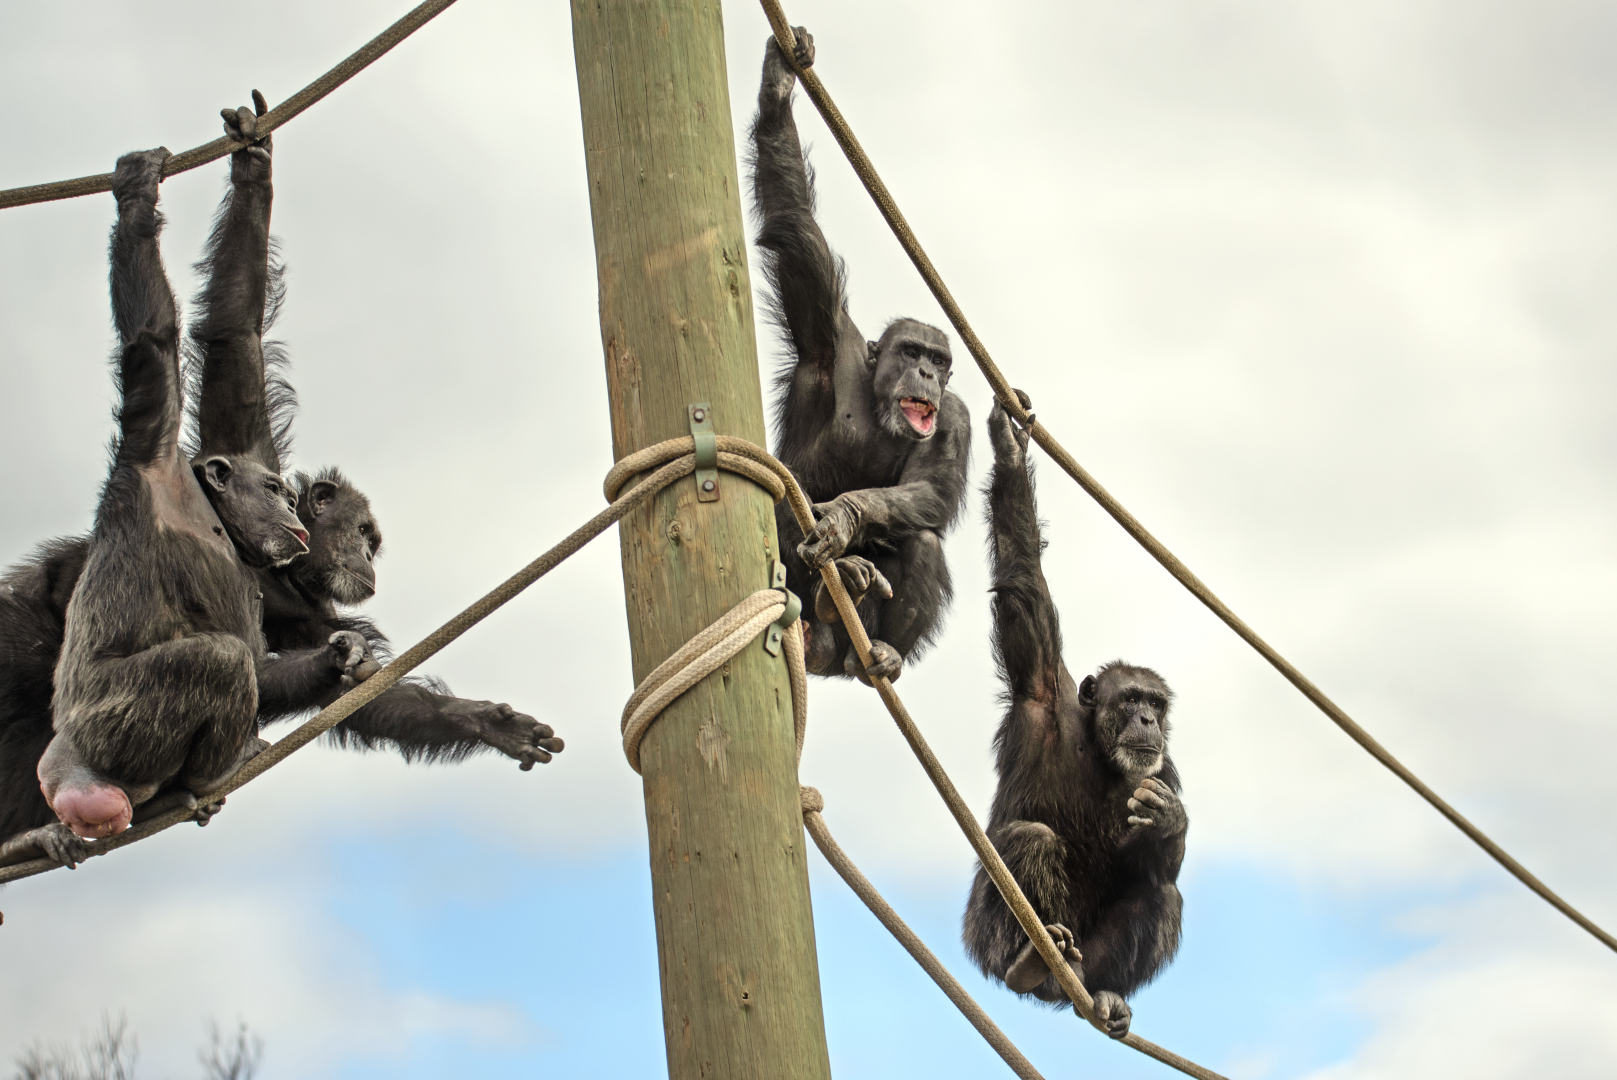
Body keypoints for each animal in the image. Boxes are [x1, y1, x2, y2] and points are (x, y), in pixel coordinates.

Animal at [749, 27, 971, 686]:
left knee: (923, 539)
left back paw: (879, 644)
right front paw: (778, 87)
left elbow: (933, 490)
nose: (925, 370)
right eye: (912, 350)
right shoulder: (827, 334)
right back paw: (835, 583)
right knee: (782, 506)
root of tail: (829, 655)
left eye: (939, 361)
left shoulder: (954, 416)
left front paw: (847, 515)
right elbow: (796, 230)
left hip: (859, 643)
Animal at [961, 392, 1187, 1040]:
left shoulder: (1165, 771)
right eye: (1129, 699)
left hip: (1092, 961)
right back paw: (1030, 961)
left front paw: (1170, 821)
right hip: (983, 937)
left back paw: (1101, 992)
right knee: (1030, 838)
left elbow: (1159, 865)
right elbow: (1025, 586)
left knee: (1162, 896)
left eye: (1156, 704)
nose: (1147, 722)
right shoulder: (1042, 687)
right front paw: (1011, 450)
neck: (1099, 746)